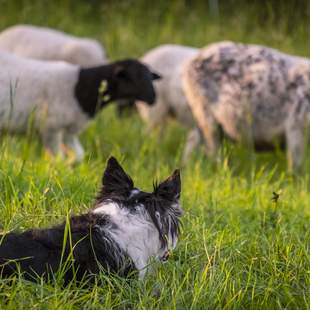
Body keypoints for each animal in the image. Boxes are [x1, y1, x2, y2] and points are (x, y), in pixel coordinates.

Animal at [0, 49, 160, 161]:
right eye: (132, 78)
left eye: (150, 77)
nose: (153, 98)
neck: (80, 88)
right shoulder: (51, 127)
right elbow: (58, 159)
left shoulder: (69, 130)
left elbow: (78, 156)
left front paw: (69, 167)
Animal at [183, 40, 310, 171]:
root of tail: (191, 62)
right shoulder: (296, 125)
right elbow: (296, 167)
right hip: (204, 112)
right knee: (212, 152)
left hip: (201, 116)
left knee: (192, 144)